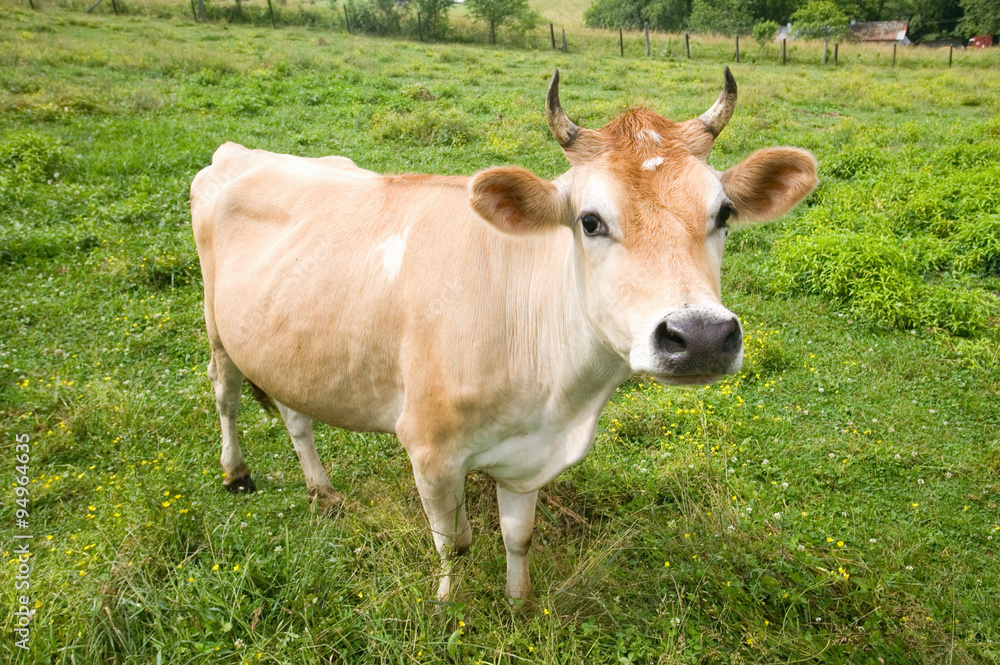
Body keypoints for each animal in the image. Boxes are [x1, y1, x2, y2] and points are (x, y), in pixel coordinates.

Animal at [191, 68, 816, 600]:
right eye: (590, 220)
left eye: (724, 214)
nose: (701, 336)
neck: (557, 396)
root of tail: (241, 152)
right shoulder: (429, 448)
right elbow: (455, 542)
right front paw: (448, 608)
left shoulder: (530, 456)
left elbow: (520, 537)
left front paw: (520, 603)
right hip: (217, 328)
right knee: (225, 393)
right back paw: (236, 473)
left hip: (286, 342)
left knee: (295, 414)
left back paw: (321, 489)